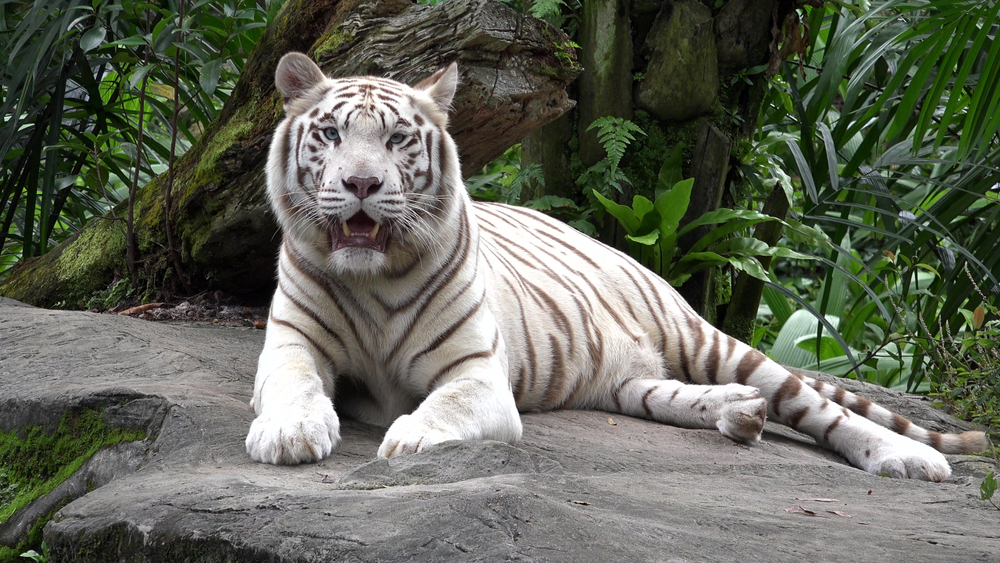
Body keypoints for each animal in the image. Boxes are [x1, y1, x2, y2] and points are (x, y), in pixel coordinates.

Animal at [246, 55, 988, 482]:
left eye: (398, 138)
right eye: (331, 134)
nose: (362, 184)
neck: (372, 277)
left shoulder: (477, 373)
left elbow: (445, 405)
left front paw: (411, 441)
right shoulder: (291, 344)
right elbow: (291, 385)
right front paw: (288, 433)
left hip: (712, 339)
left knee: (821, 408)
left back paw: (911, 458)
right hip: (627, 380)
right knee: (674, 394)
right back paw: (738, 414)